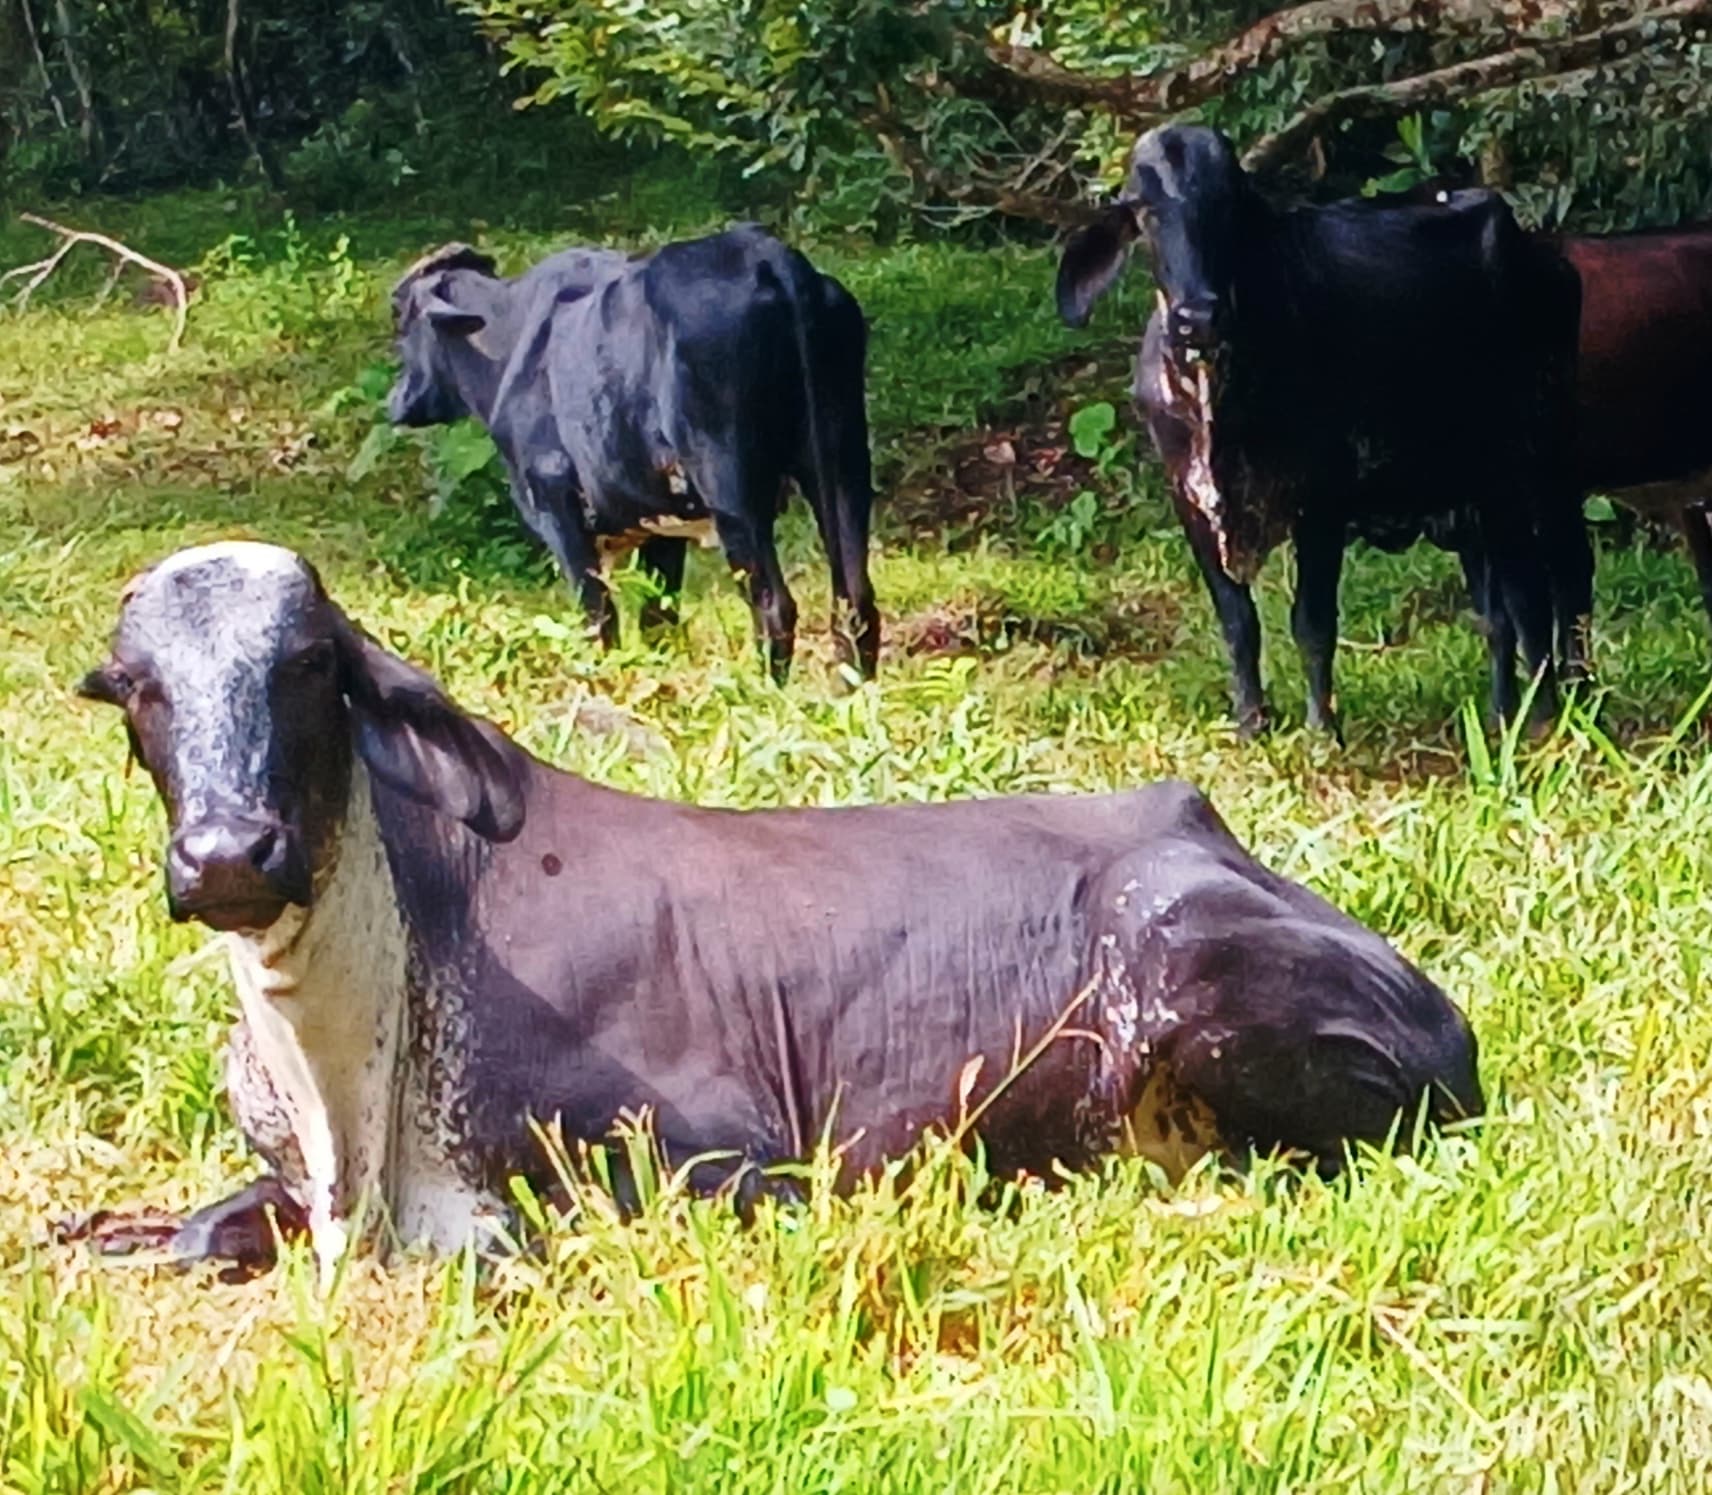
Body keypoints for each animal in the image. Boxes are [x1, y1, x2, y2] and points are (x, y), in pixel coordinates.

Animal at [58, 541, 1483, 1279]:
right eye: (134, 688)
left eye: (310, 664)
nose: (228, 853)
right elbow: (199, 1230)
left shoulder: (725, 1166)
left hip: (1191, 980)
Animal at [387, 225, 881, 684]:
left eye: (400, 317)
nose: (395, 400)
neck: (507, 342)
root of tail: (764, 253)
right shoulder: (660, 519)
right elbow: (657, 618)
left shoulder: (555, 503)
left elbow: (598, 617)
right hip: (842, 462)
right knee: (855, 601)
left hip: (731, 487)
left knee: (774, 605)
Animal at [1055, 124, 1588, 738]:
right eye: (1144, 210)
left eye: (1228, 205)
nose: (1197, 316)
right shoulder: (1189, 500)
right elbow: (1237, 621)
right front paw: (1251, 722)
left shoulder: (1322, 499)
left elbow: (1311, 622)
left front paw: (1321, 731)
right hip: (1472, 493)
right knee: (1499, 612)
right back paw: (1504, 716)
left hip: (1533, 468)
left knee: (1548, 591)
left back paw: (1551, 713)